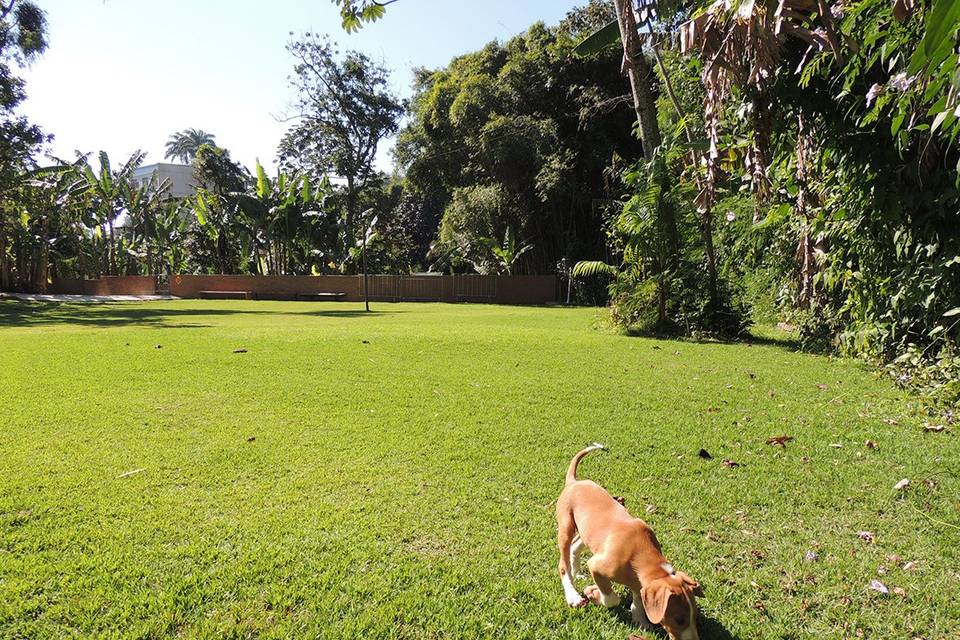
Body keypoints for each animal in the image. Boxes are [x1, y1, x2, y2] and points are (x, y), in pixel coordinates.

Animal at [556, 444, 704, 640]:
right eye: (679, 619)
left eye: (695, 616)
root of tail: (573, 482)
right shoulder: (597, 565)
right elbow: (611, 599)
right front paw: (594, 594)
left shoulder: (639, 583)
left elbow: (638, 599)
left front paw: (640, 619)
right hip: (566, 525)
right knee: (563, 564)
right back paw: (572, 594)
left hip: (586, 532)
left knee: (575, 546)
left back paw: (577, 572)